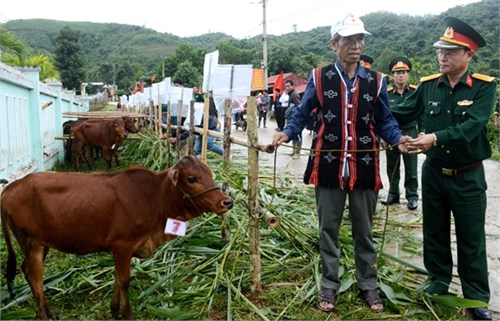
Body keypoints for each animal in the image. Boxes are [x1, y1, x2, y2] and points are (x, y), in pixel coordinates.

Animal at [0, 155, 232, 318]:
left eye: (210, 173)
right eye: (192, 178)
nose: (227, 202)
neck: (154, 197)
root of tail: (11, 187)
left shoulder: (121, 249)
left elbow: (118, 279)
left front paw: (113, 310)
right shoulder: (122, 245)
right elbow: (125, 280)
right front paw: (127, 314)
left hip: (39, 244)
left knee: (26, 270)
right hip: (33, 242)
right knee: (36, 279)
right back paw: (44, 315)